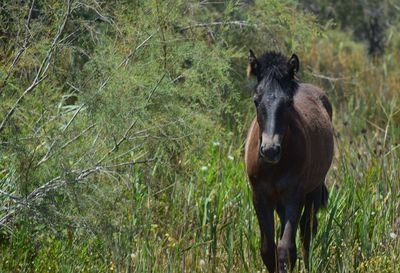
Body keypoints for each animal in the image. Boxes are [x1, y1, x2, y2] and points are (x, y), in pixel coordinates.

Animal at [244, 50, 334, 270]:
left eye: (289, 103)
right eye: (256, 100)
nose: (270, 150)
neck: (273, 168)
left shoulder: (295, 195)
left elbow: (287, 249)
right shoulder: (260, 196)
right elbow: (268, 250)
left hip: (313, 190)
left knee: (307, 231)